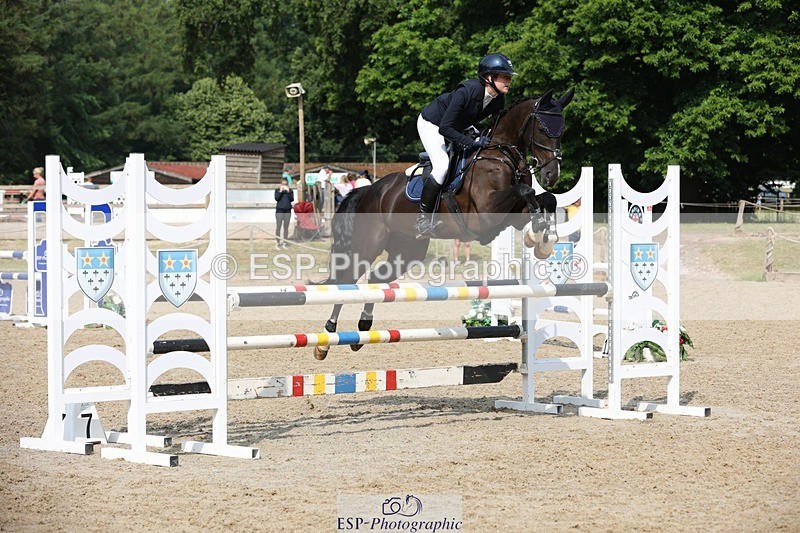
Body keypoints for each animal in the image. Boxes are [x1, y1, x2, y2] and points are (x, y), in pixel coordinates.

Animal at [313, 88, 574, 360]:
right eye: (542, 128)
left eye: (563, 130)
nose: (551, 175)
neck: (501, 155)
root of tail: (370, 190)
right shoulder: (486, 215)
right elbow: (525, 190)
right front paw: (539, 233)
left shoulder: (511, 214)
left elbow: (546, 198)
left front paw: (543, 239)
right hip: (368, 245)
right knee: (348, 281)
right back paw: (326, 338)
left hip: (407, 250)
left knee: (376, 278)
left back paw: (363, 327)